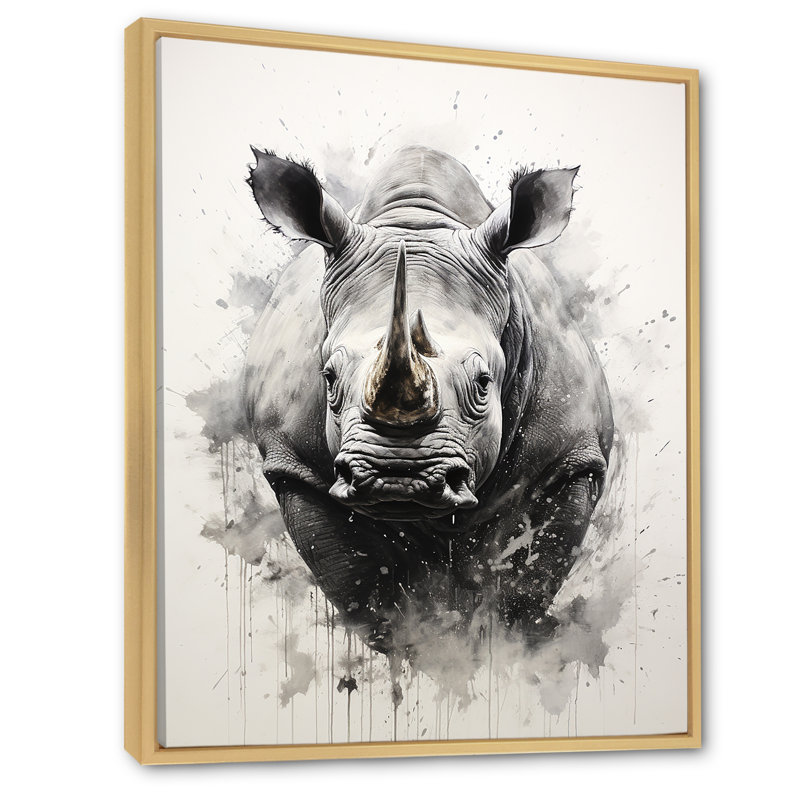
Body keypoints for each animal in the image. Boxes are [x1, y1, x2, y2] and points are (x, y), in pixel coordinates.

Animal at [244, 145, 613, 654]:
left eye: (483, 382)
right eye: (329, 378)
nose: (396, 478)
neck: (417, 221)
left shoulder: (569, 459)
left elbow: (524, 592)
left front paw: (500, 652)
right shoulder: (295, 466)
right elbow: (371, 597)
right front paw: (424, 652)